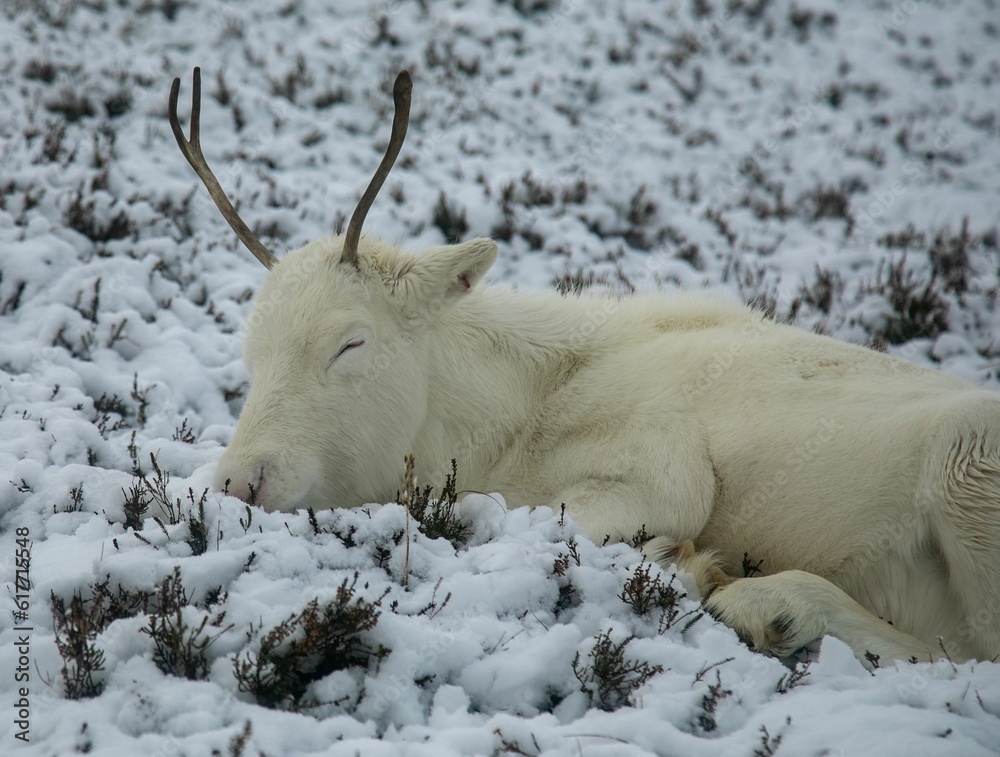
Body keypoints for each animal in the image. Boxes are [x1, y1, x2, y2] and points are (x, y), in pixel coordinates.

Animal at [169, 68, 1000, 668]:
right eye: (251, 353)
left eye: (351, 343)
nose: (241, 478)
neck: (508, 420)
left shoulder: (664, 476)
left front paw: (683, 558)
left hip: (966, 473)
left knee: (968, 658)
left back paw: (764, 602)